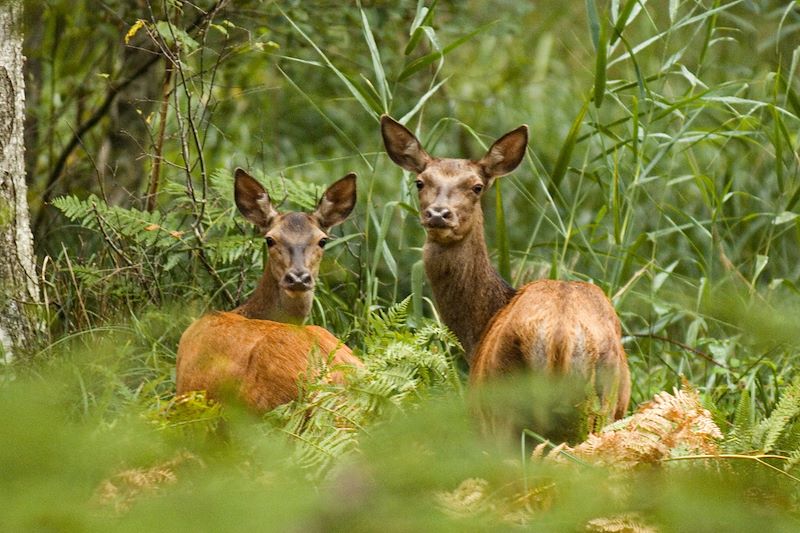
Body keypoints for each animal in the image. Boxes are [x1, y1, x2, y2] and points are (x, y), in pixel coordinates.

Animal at [382, 114, 632, 438]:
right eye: (420, 182)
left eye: (477, 186)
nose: (438, 214)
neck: (480, 327)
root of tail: (560, 338)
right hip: (605, 403)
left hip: (503, 404)